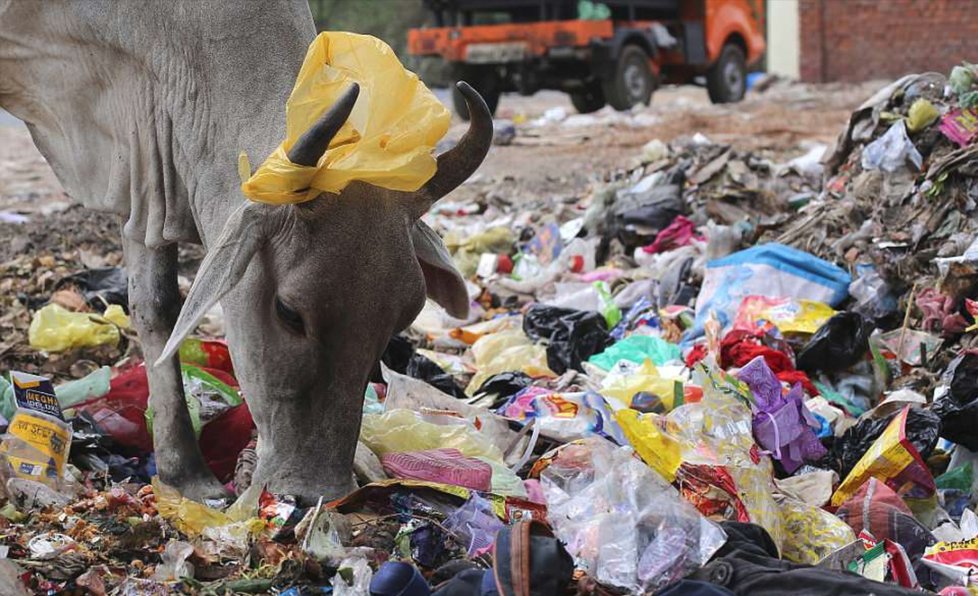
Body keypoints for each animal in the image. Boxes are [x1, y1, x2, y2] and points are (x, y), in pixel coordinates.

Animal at [0, 1, 488, 502]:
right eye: (288, 312)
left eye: (401, 320)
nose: (317, 493)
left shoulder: (145, 159)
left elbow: (155, 306)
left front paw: (182, 473)